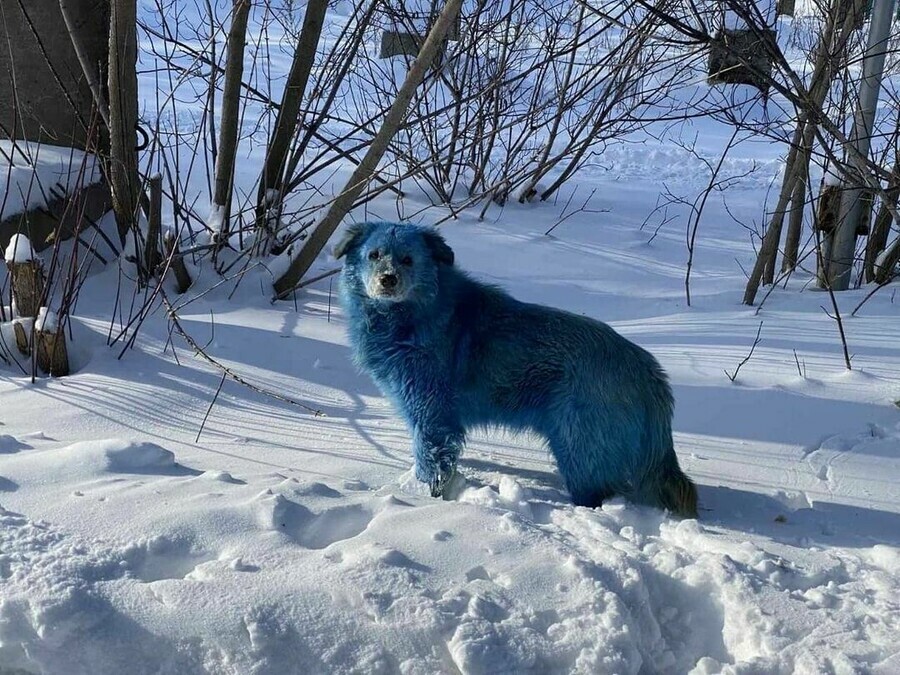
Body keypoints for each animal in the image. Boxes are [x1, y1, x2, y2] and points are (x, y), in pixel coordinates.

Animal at [336, 222, 696, 516]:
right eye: (374, 255)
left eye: (408, 259)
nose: (387, 280)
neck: (416, 313)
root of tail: (648, 371)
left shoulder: (431, 415)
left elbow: (431, 461)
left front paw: (425, 499)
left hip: (578, 448)